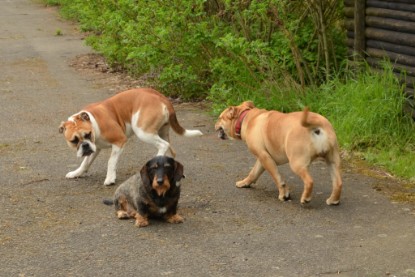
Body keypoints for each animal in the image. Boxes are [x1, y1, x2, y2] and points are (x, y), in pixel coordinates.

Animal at [58, 87, 203, 184]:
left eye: (88, 134)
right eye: (74, 141)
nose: (85, 145)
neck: (94, 122)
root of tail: (161, 97)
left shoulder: (119, 141)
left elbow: (111, 161)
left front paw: (110, 178)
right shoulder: (95, 148)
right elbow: (85, 163)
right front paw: (76, 173)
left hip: (142, 131)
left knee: (163, 145)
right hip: (162, 132)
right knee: (170, 150)